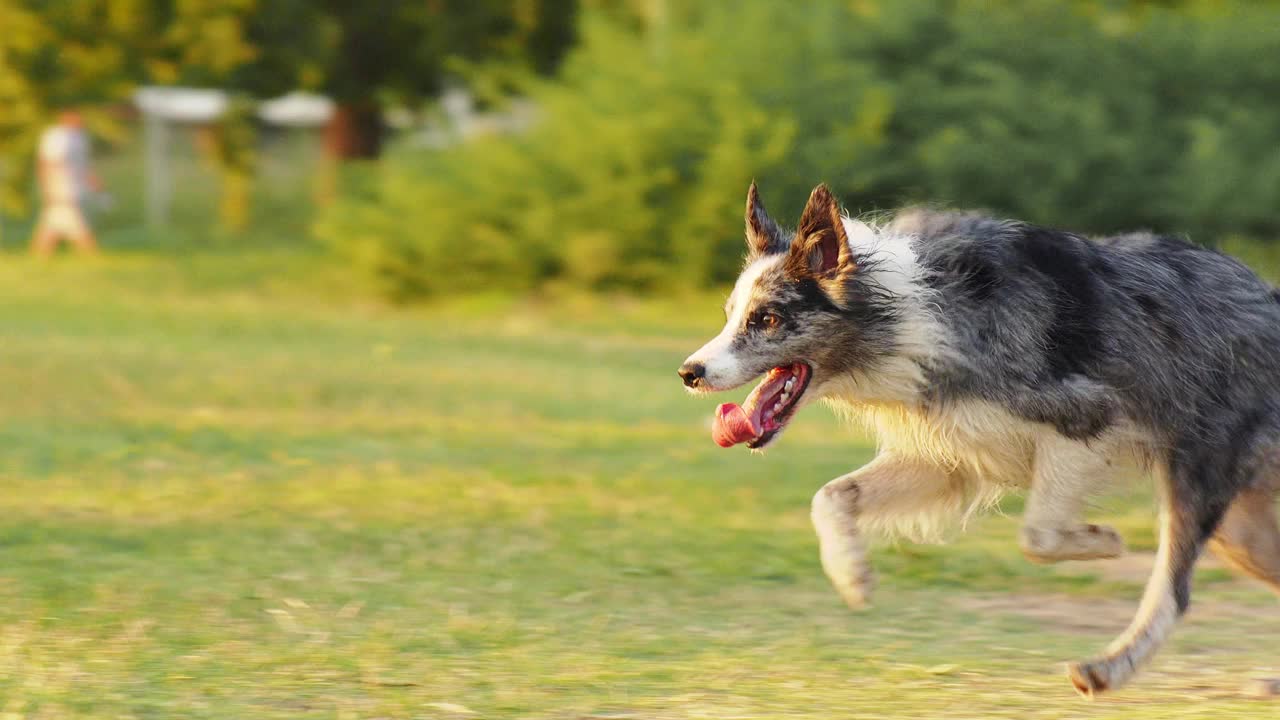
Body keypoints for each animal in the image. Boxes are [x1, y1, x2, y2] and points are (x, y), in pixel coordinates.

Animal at [680, 181, 1280, 691]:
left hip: (1198, 483)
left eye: (767, 320)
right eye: (730, 314)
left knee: (1172, 592)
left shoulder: (1086, 419)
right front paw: (852, 576)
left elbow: (1036, 535)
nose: (689, 372)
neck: (908, 316)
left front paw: (1102, 541)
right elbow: (830, 496)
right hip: (1243, 532)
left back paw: (1109, 668)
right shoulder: (950, 457)